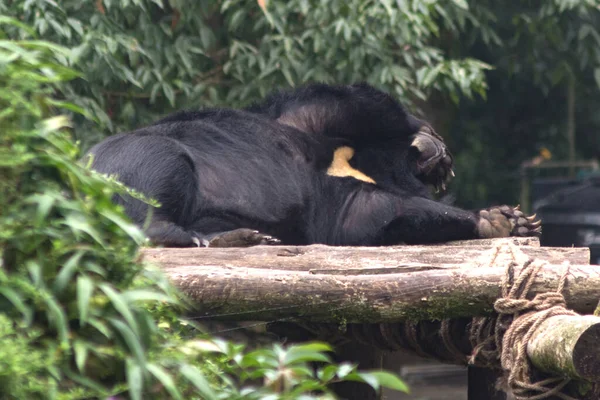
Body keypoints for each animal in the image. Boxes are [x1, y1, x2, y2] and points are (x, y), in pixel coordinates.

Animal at [83, 82, 540, 247]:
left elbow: (375, 215)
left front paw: (507, 221)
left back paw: (238, 237)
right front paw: (430, 143)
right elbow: (354, 102)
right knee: (161, 169)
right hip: (133, 156)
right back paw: (195, 237)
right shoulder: (305, 120)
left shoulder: (339, 198)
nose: (436, 159)